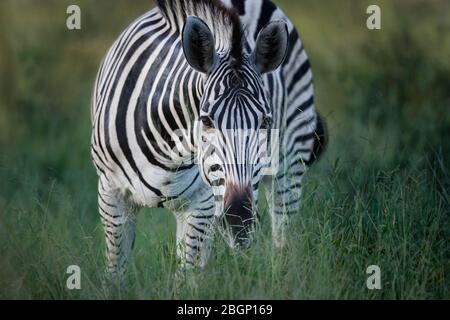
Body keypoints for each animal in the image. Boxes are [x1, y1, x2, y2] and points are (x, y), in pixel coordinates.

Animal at [90, 0, 326, 282]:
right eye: (206, 120)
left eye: (265, 122)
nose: (238, 222)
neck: (165, 146)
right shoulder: (111, 194)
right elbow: (116, 272)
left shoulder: (200, 203)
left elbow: (185, 275)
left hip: (289, 164)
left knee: (282, 236)